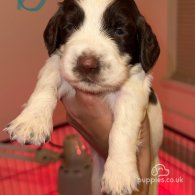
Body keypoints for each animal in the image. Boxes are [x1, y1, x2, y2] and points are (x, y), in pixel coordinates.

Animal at [5, 0, 163, 194]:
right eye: (70, 27)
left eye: (119, 30)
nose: (87, 64)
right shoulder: (57, 61)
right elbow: (46, 83)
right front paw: (31, 123)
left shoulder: (135, 85)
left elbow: (122, 128)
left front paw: (119, 174)